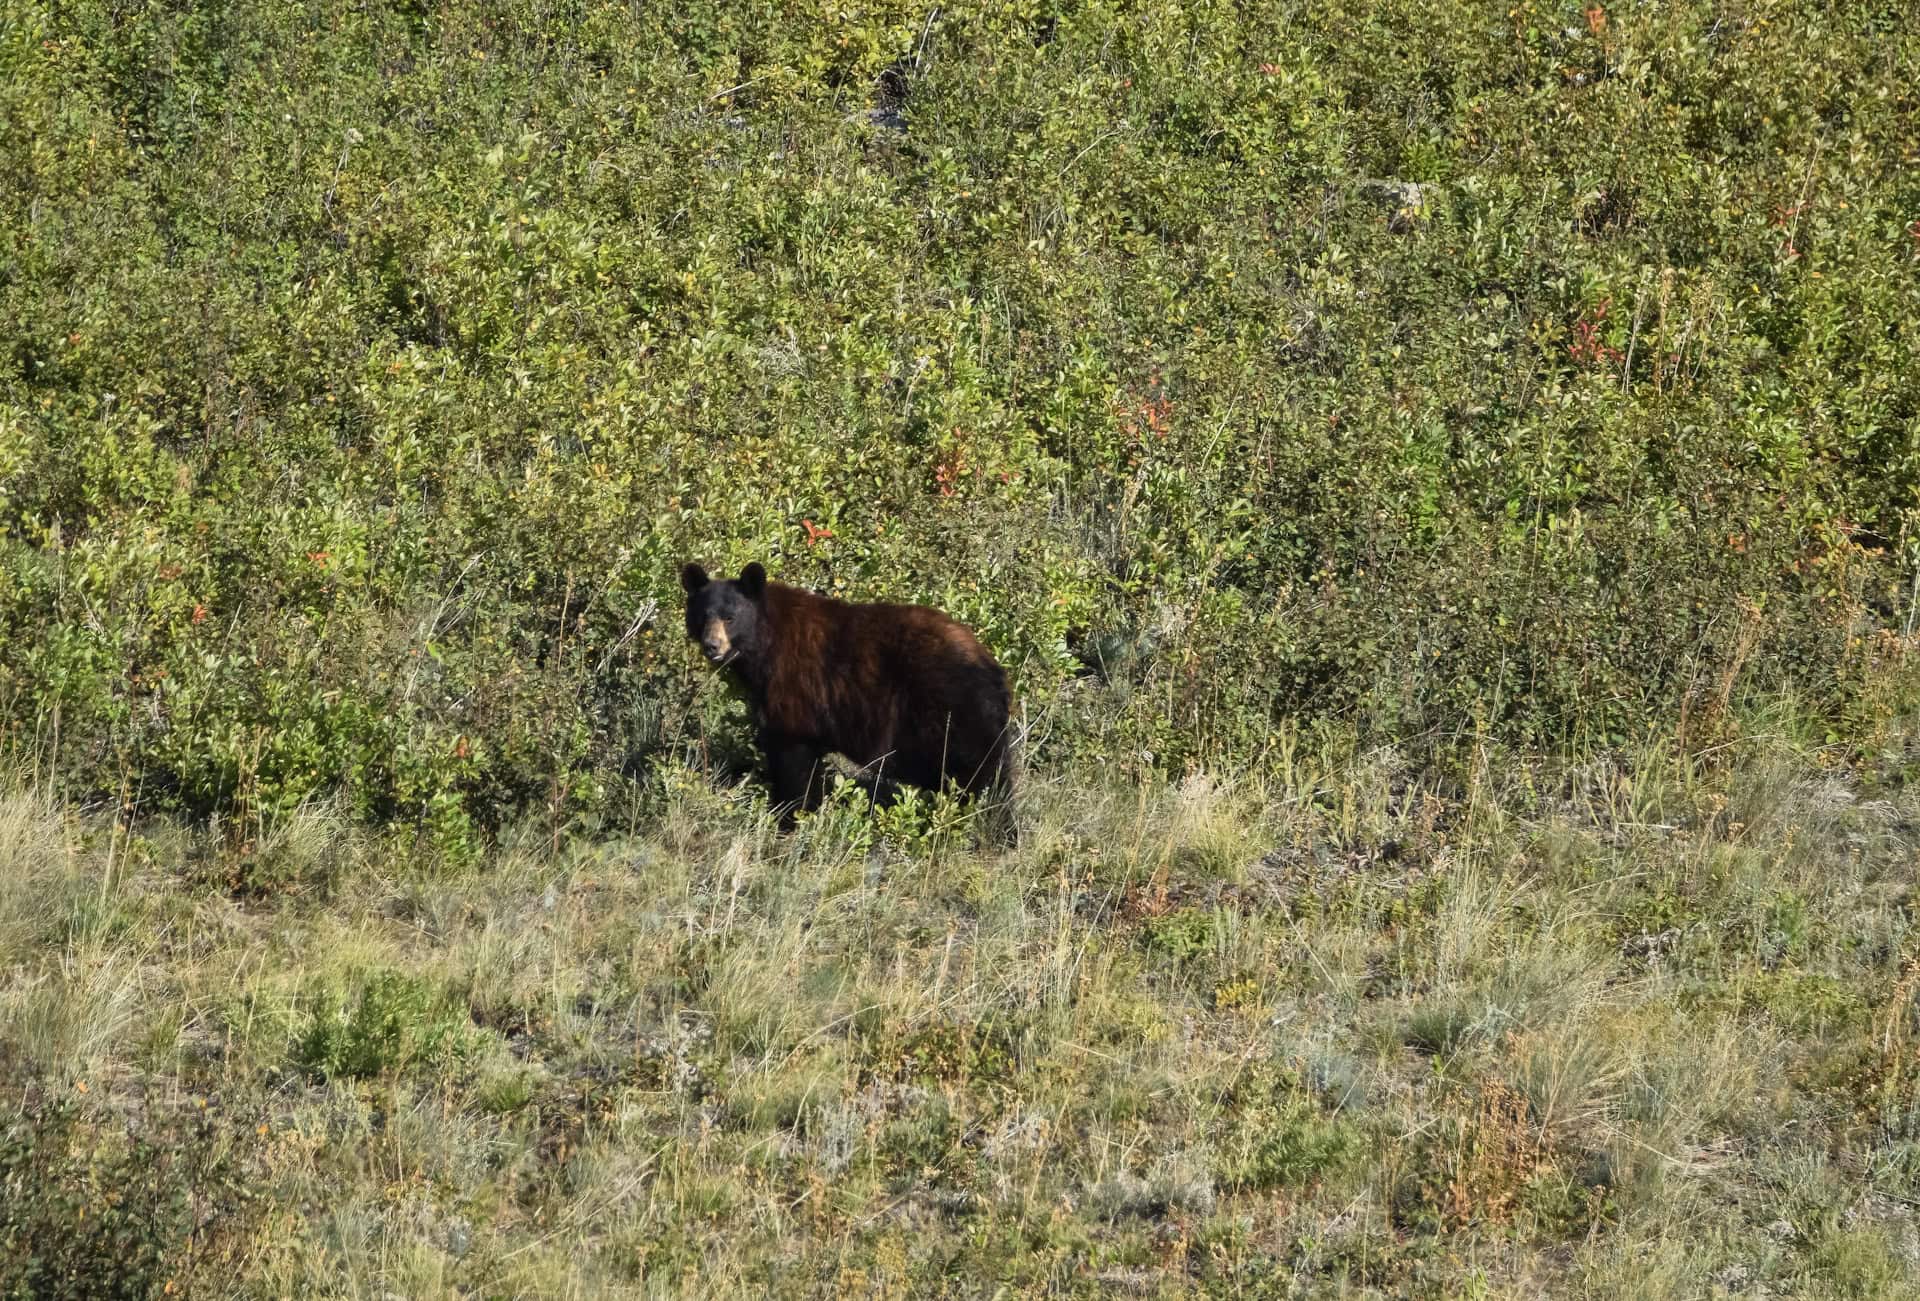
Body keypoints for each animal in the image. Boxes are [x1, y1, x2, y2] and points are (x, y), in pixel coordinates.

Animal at [680, 561, 1015, 836]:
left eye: (730, 617)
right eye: (702, 615)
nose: (712, 646)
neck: (765, 641)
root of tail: (992, 666)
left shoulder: (794, 694)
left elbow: (794, 763)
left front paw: (790, 820)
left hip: (951, 710)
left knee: (981, 770)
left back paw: (996, 827)